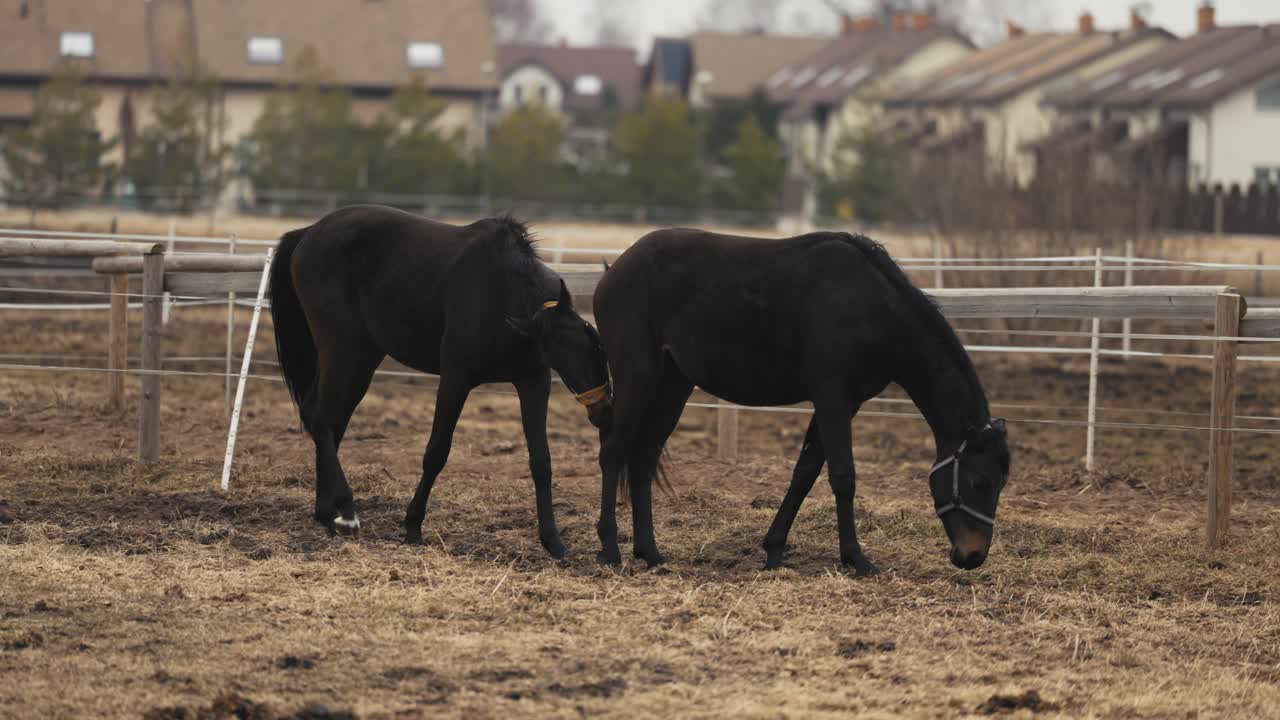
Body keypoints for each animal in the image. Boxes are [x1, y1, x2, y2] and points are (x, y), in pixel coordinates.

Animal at [267, 202, 611, 548]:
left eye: (594, 342)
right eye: (565, 353)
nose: (602, 410)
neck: (503, 293)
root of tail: (307, 233)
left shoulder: (533, 381)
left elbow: (541, 460)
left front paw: (553, 540)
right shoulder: (455, 378)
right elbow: (437, 451)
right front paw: (413, 525)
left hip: (361, 355)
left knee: (325, 418)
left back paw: (327, 512)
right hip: (345, 350)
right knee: (322, 417)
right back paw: (346, 512)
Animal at [591, 226, 1008, 573]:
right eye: (980, 481)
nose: (973, 556)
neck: (872, 306)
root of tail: (615, 269)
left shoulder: (845, 403)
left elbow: (805, 472)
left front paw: (775, 550)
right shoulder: (832, 396)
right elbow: (842, 475)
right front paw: (856, 558)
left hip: (673, 384)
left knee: (643, 458)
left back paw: (650, 552)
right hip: (637, 375)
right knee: (613, 452)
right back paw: (610, 549)